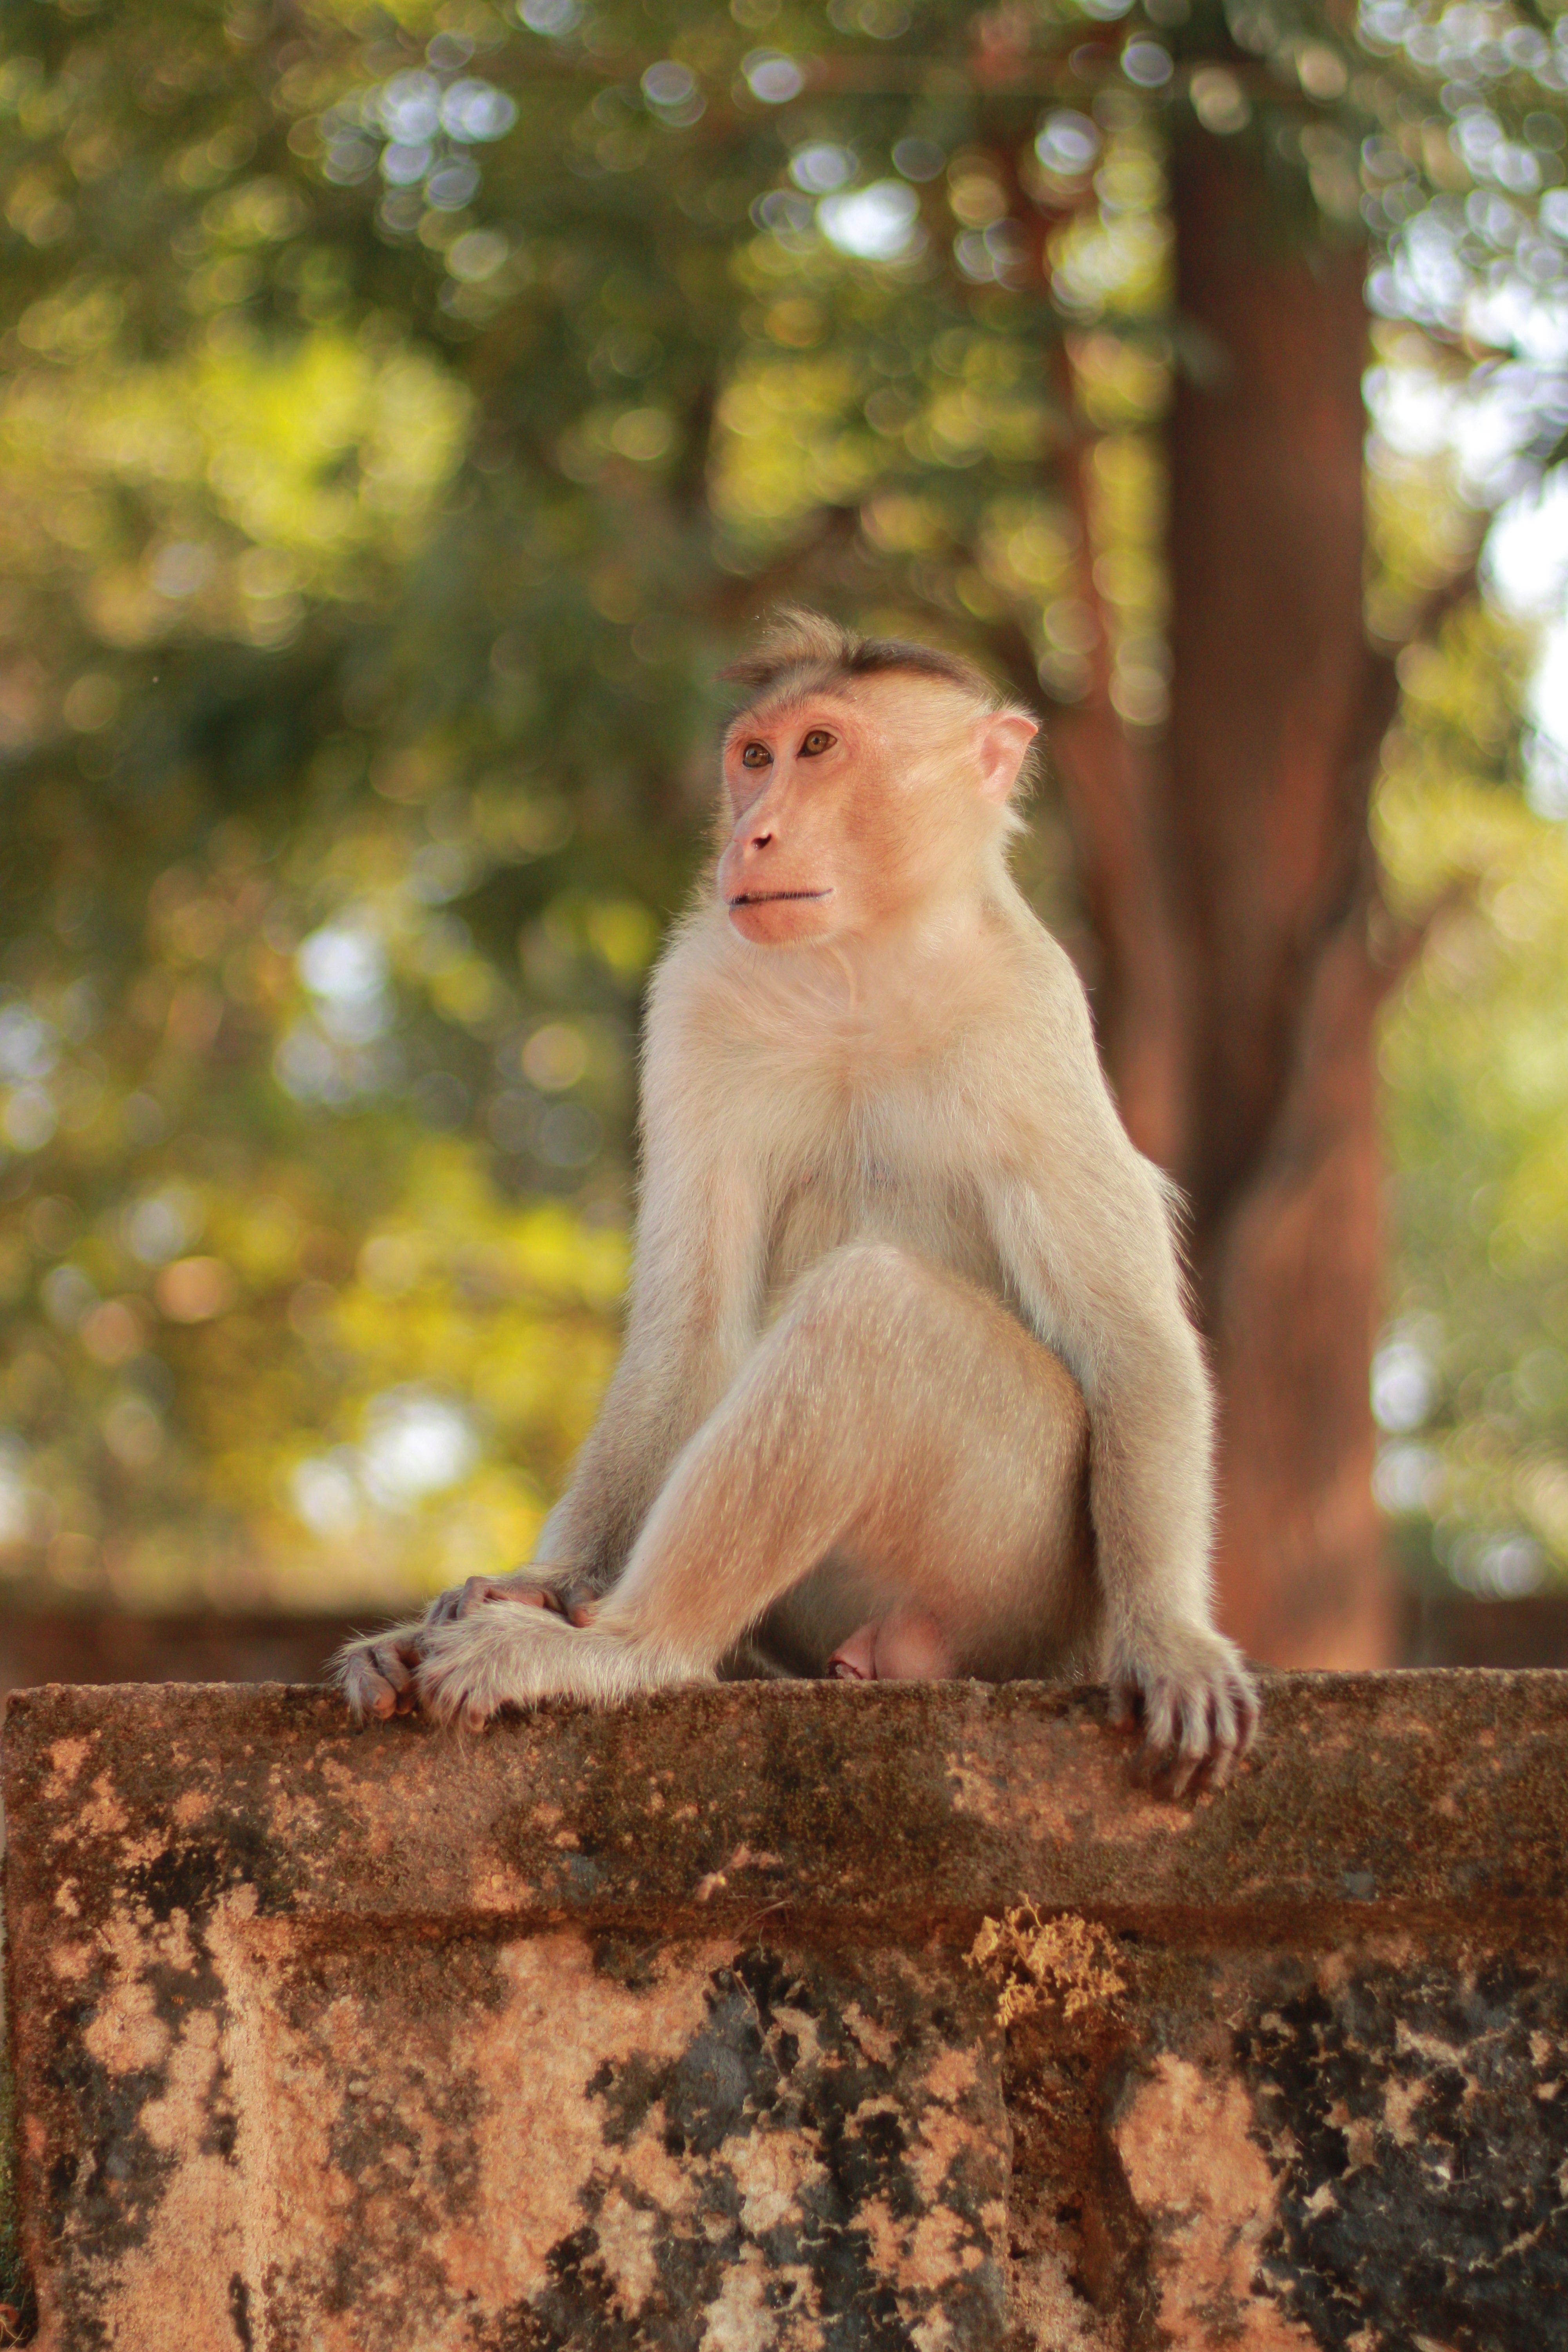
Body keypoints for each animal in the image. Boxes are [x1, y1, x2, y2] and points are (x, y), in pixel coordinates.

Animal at [336, 610, 1258, 1794]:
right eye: (755, 757)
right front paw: (549, 1576)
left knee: (873, 1311)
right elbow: (689, 1329)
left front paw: (1174, 1641)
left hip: (1032, 1583)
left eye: (820, 748)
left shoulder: (1032, 1014)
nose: (754, 835)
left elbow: (1129, 1338)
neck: (858, 970)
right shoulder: (696, 996)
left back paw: (631, 1650)